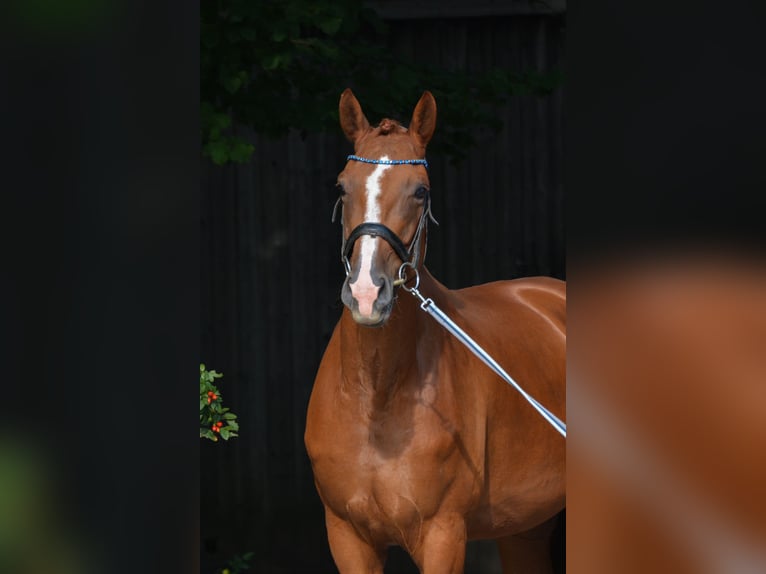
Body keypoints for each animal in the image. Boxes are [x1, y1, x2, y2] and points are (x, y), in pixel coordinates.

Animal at [304, 90, 564, 574]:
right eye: (342, 187)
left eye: (420, 191)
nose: (367, 293)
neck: (375, 397)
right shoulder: (346, 536)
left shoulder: (443, 534)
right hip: (526, 526)